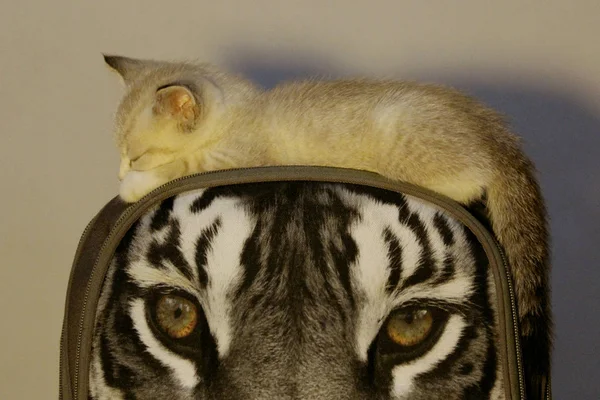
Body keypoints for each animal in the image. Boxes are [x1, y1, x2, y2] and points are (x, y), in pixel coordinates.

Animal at [102, 54, 548, 398]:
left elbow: (182, 165)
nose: (121, 169)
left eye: (137, 156)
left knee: (472, 178)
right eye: (119, 152)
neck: (241, 116)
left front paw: (132, 185)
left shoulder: (237, 161)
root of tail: (498, 137)